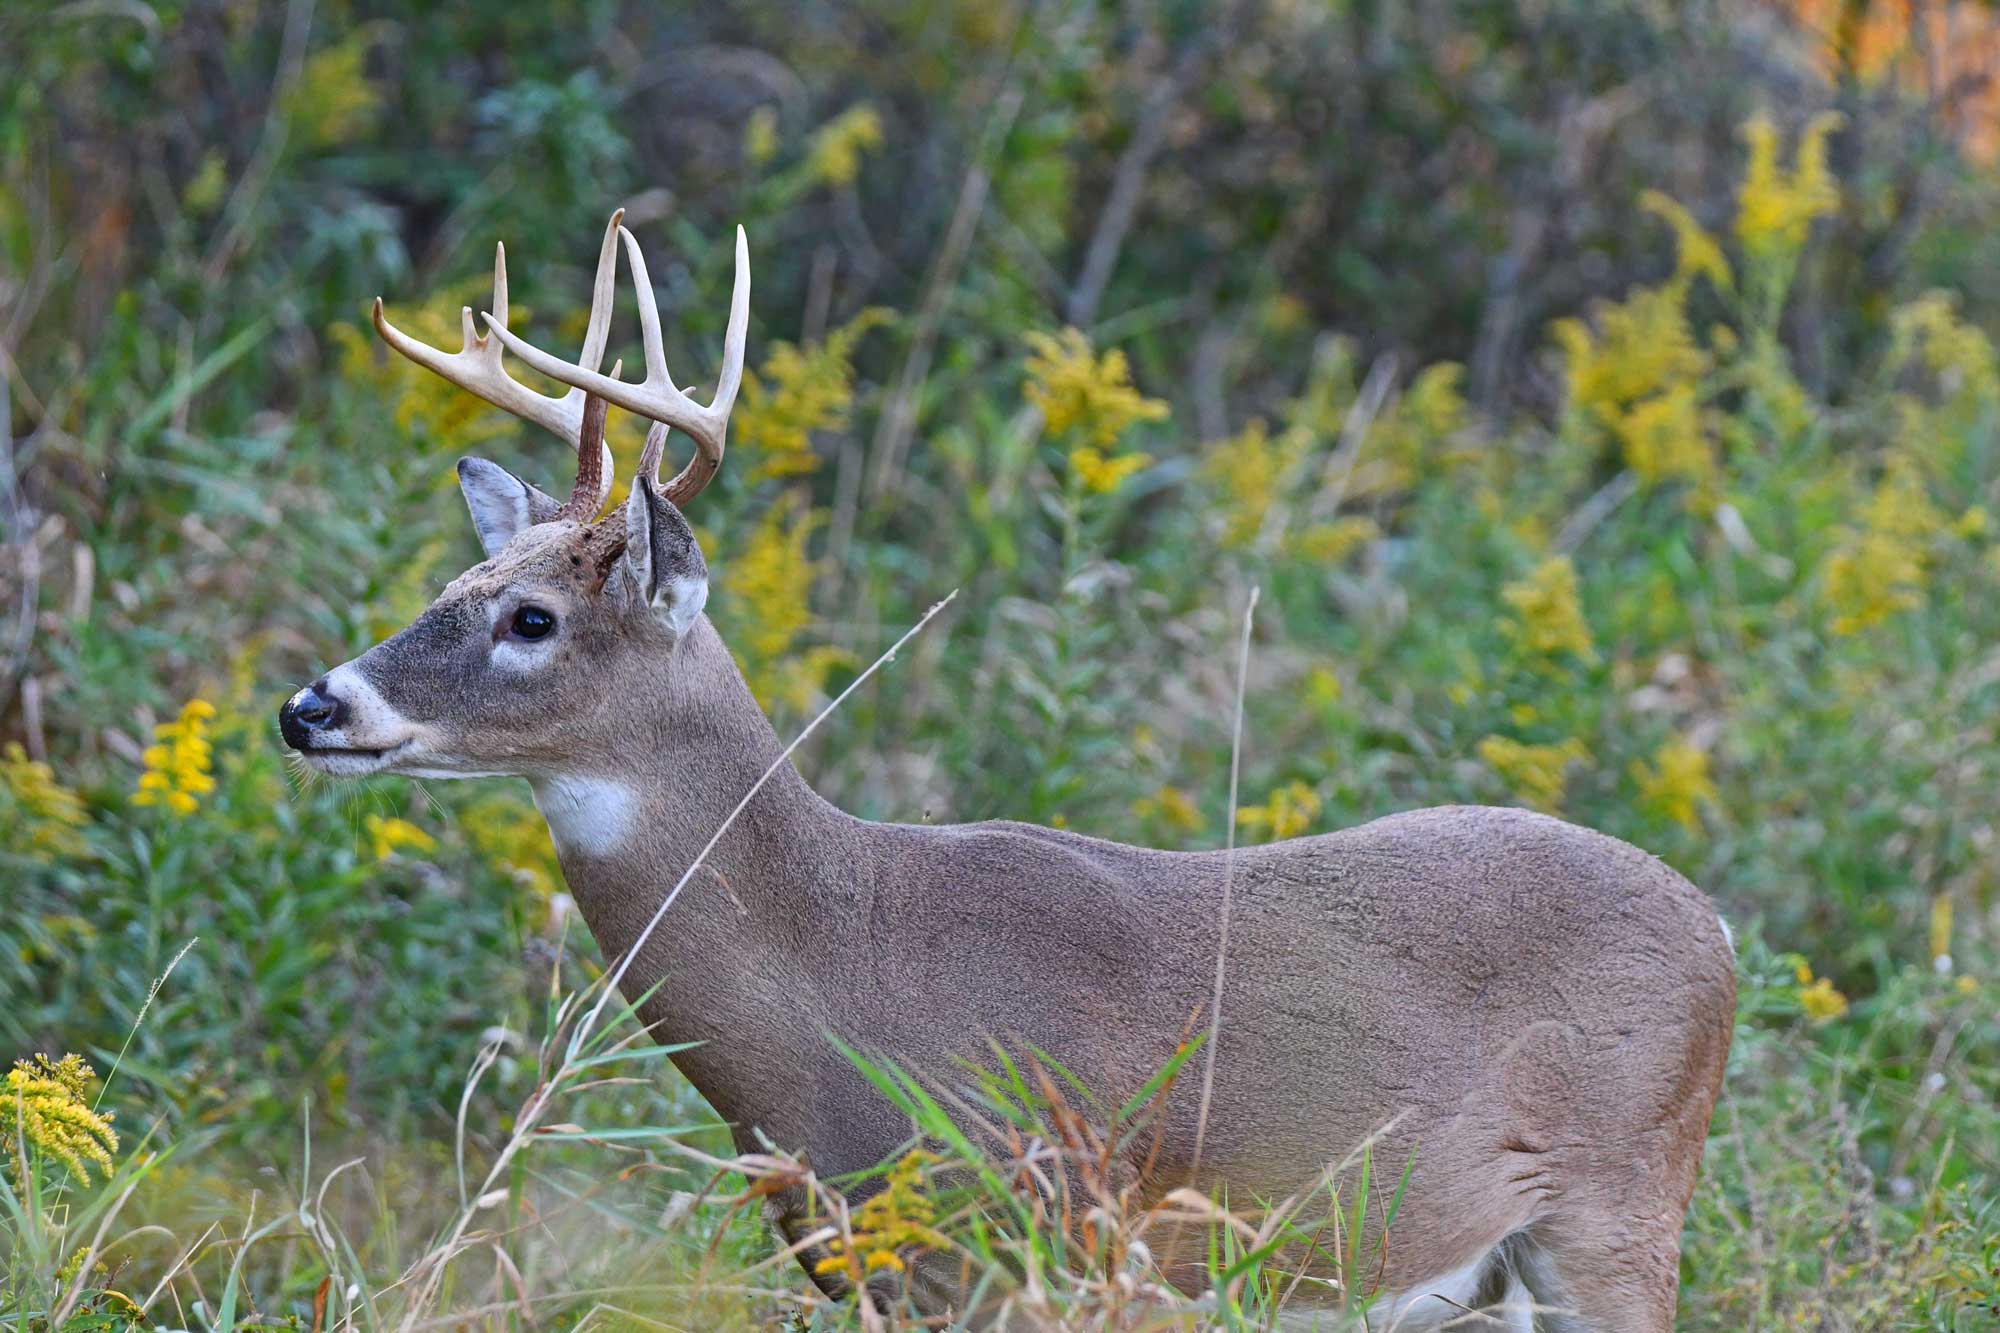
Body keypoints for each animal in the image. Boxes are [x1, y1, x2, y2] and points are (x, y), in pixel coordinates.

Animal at [277, 212, 1735, 1331]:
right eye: (449, 585)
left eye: (531, 619)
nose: (309, 706)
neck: (839, 993)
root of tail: (1718, 928)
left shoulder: (1060, 1237)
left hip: (1615, 1204)